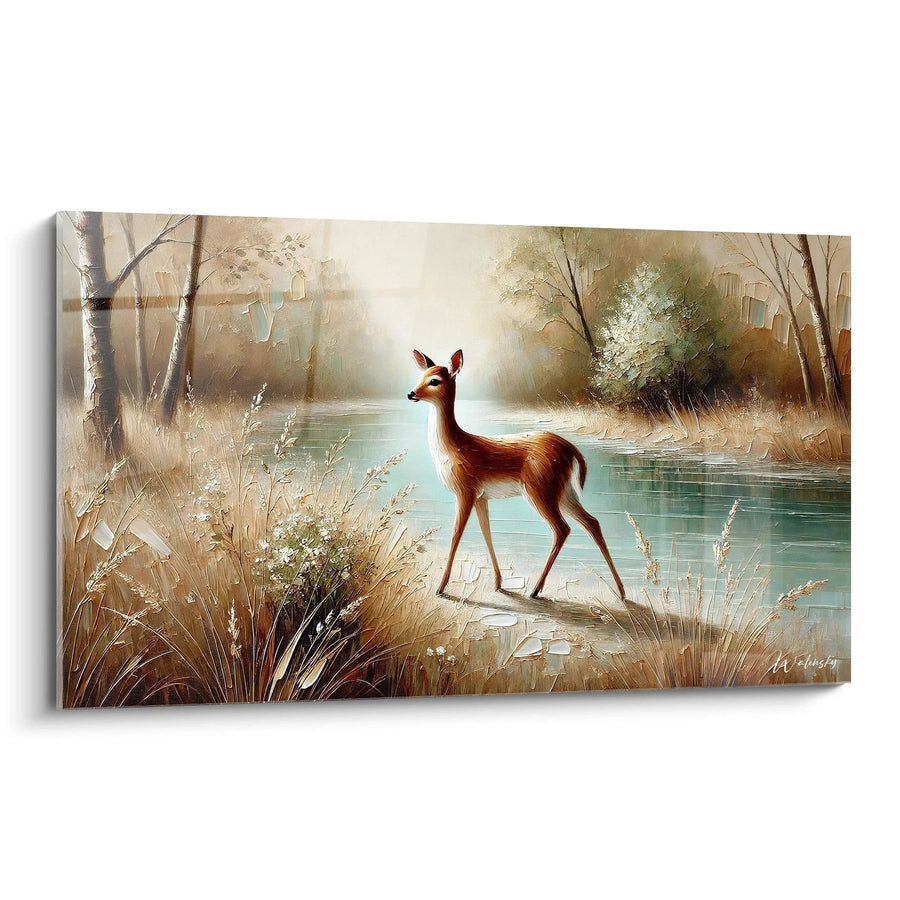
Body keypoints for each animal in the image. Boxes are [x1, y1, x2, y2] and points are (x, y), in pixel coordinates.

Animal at [408, 348, 626, 601]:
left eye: (435, 380)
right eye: (421, 376)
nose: (411, 393)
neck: (453, 448)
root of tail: (571, 450)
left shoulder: (465, 491)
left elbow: (456, 534)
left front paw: (441, 587)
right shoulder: (481, 497)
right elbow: (487, 533)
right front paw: (498, 583)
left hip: (539, 488)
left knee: (562, 528)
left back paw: (535, 589)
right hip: (563, 491)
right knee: (592, 522)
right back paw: (621, 591)